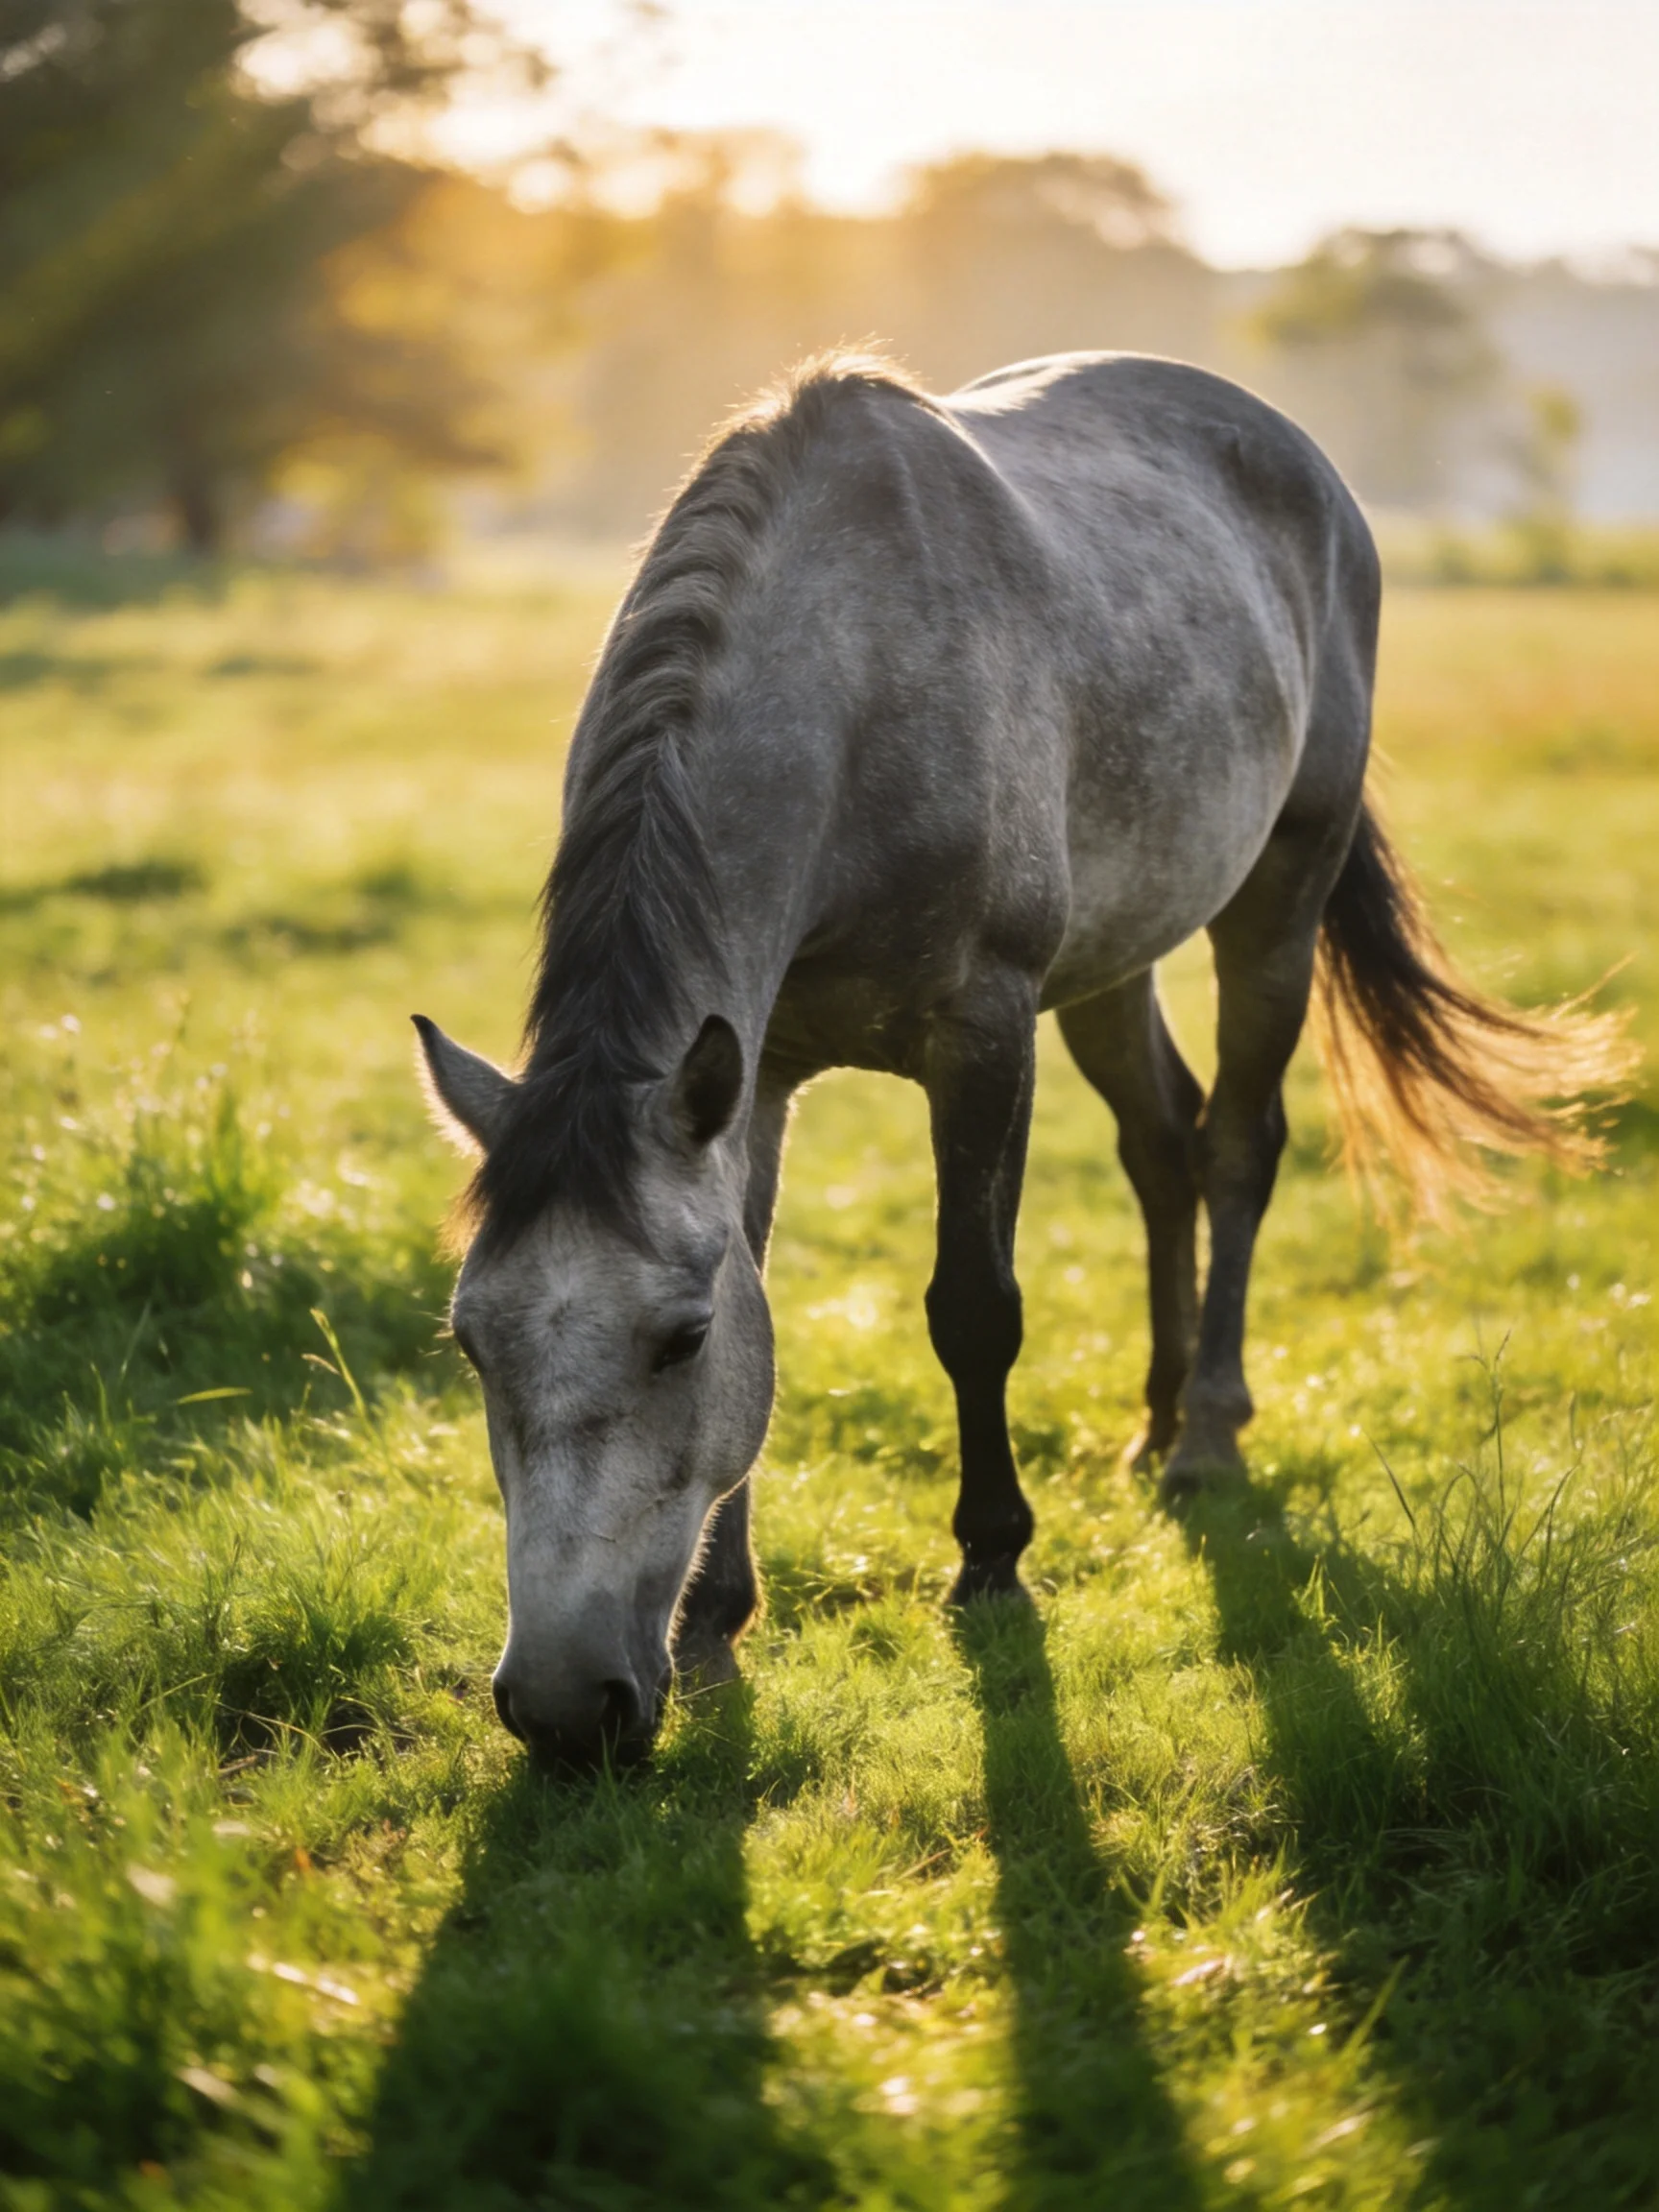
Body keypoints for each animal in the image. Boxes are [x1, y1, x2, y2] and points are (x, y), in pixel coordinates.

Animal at [415, 351, 1625, 1770]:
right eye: (471, 1344)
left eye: (680, 1340)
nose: (562, 1708)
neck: (852, 689)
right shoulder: (754, 1073)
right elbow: (770, 1281)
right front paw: (717, 1611)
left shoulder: (983, 1034)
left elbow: (973, 1306)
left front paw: (990, 1564)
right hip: (1112, 960)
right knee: (1162, 1145)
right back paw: (1156, 1416)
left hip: (1278, 895)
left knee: (1237, 1146)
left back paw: (1207, 1435)